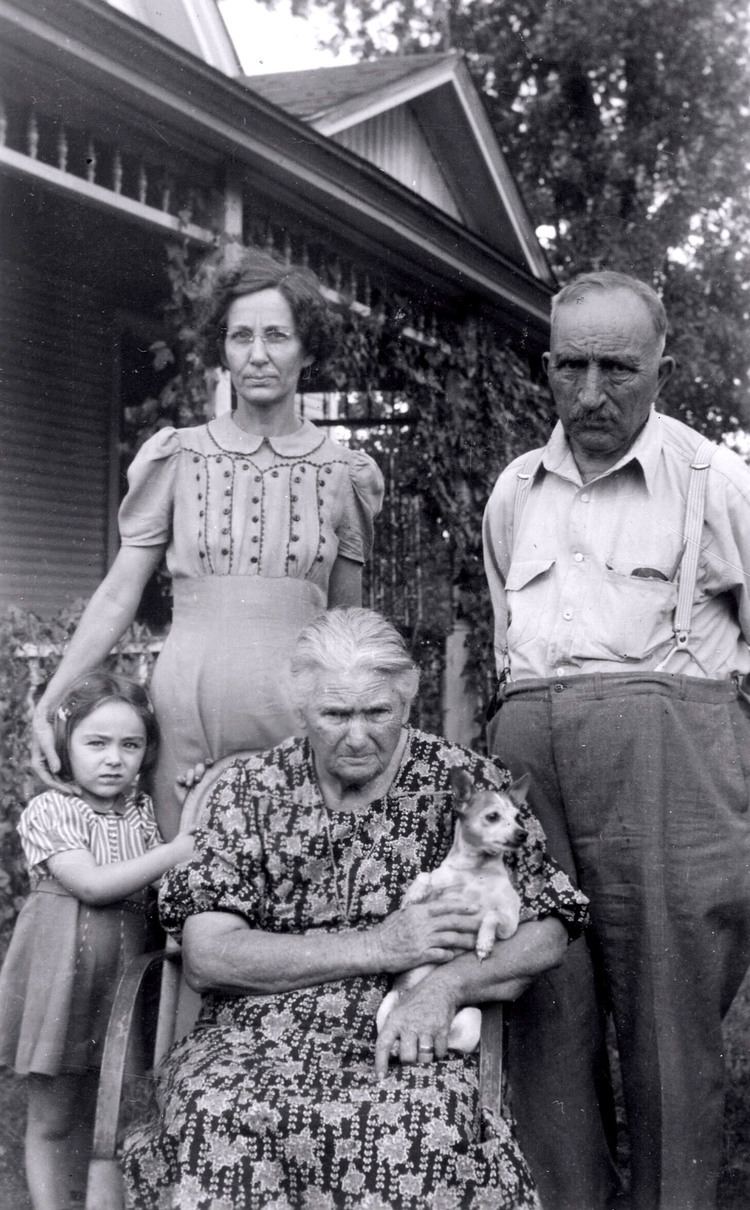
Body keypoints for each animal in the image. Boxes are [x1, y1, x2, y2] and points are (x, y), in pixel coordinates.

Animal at [372, 774, 527, 1050]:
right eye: (493, 816)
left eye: (518, 816)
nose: (523, 834)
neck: (476, 869)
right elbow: (424, 876)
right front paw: (411, 896)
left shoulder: (510, 922)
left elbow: (491, 915)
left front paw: (484, 944)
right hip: (386, 1007)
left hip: (470, 1020)